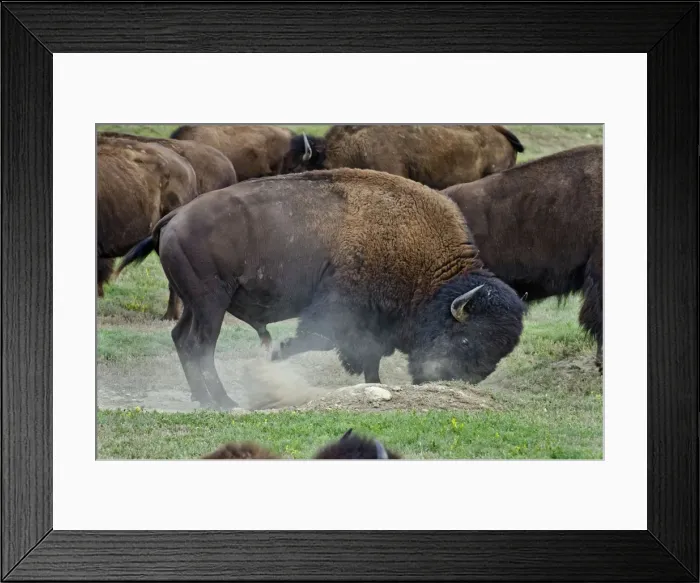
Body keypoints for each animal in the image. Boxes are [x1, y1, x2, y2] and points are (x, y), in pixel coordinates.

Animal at [116, 168, 526, 409]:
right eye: (467, 339)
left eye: (500, 352)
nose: (459, 380)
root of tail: (172, 219)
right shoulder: (341, 310)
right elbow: (323, 341)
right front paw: (276, 355)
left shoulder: (372, 324)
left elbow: (369, 359)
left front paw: (375, 387)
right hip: (210, 303)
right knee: (199, 345)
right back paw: (224, 400)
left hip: (195, 305)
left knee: (181, 339)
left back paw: (203, 398)